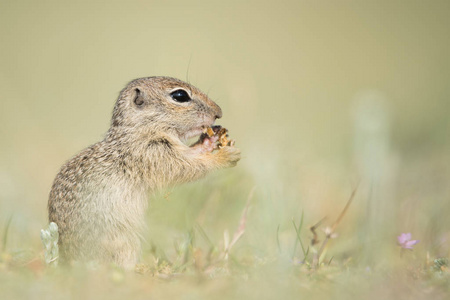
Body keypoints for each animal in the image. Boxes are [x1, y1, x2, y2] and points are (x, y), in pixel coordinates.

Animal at [47, 76, 241, 268]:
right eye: (180, 96)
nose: (218, 112)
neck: (138, 131)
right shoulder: (154, 154)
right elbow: (188, 167)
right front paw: (225, 156)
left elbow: (193, 154)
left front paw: (211, 140)